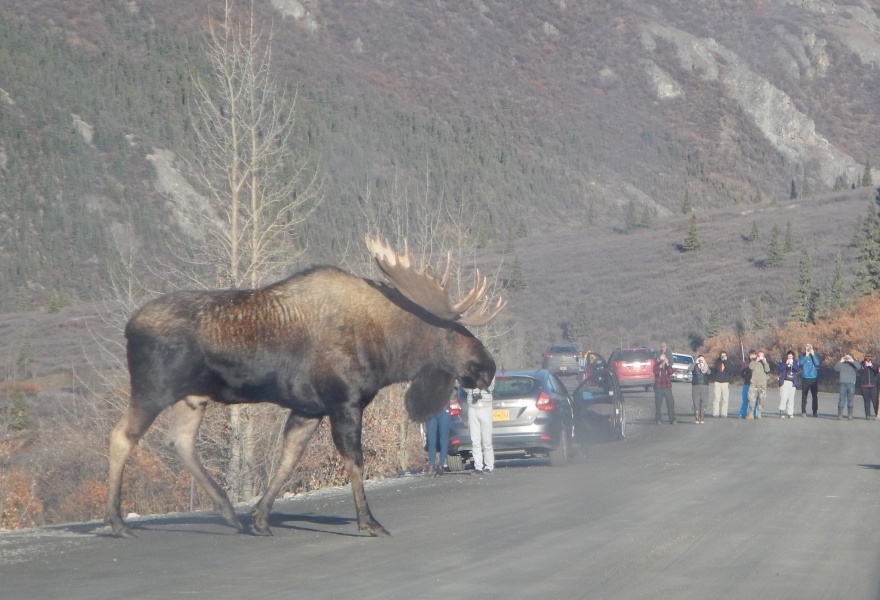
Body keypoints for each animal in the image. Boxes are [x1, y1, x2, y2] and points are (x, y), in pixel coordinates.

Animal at [104, 236, 506, 540]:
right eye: (453, 332)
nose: (487, 368)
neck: (388, 351)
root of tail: (128, 326)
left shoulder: (309, 408)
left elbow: (287, 460)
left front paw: (260, 519)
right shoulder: (344, 403)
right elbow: (354, 463)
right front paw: (369, 522)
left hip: (193, 397)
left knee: (180, 442)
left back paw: (228, 512)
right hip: (153, 389)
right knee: (122, 436)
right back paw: (118, 523)